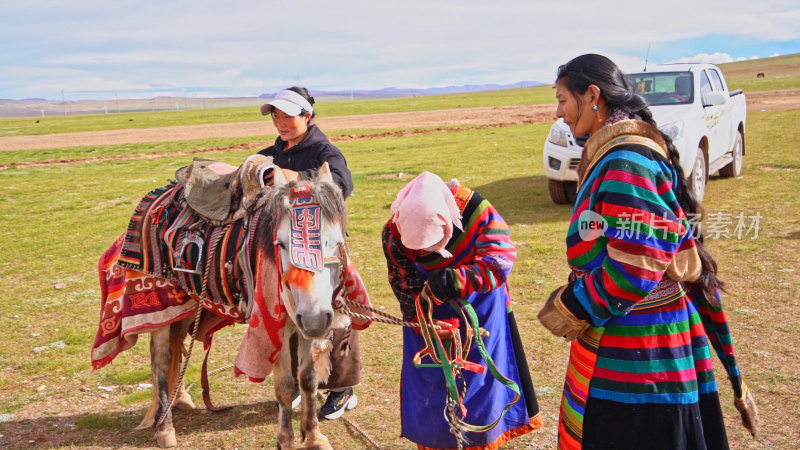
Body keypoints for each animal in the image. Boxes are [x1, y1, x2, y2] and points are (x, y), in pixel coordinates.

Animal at [94, 160, 356, 448]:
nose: (315, 320)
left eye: (338, 241)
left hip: (186, 307)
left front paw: (314, 436)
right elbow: (286, 386)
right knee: (161, 360)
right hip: (158, 307)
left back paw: (180, 399)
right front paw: (286, 440)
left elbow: (308, 380)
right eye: (281, 244)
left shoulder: (303, 323)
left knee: (177, 348)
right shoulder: (276, 323)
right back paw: (165, 428)